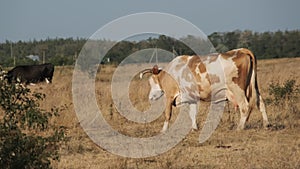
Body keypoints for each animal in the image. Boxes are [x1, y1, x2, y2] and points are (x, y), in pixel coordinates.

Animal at [140, 47, 270, 132]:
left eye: (151, 82)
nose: (150, 97)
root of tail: (241, 50)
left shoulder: (169, 96)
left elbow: (167, 114)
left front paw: (163, 130)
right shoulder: (191, 98)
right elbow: (193, 114)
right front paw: (194, 128)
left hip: (237, 90)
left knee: (245, 107)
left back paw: (239, 128)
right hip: (254, 87)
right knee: (260, 103)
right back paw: (266, 124)